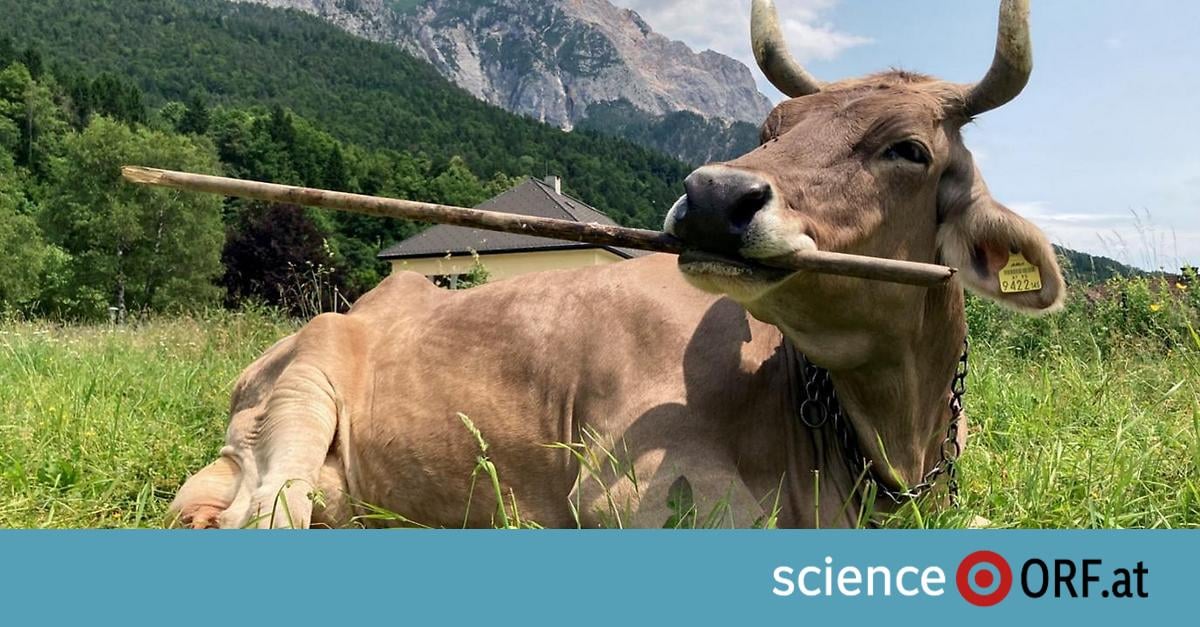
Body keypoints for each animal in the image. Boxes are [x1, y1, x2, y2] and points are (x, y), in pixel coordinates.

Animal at [169, 0, 1064, 529]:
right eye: (770, 128)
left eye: (908, 149)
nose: (713, 195)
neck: (889, 439)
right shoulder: (634, 494)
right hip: (302, 394)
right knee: (259, 517)